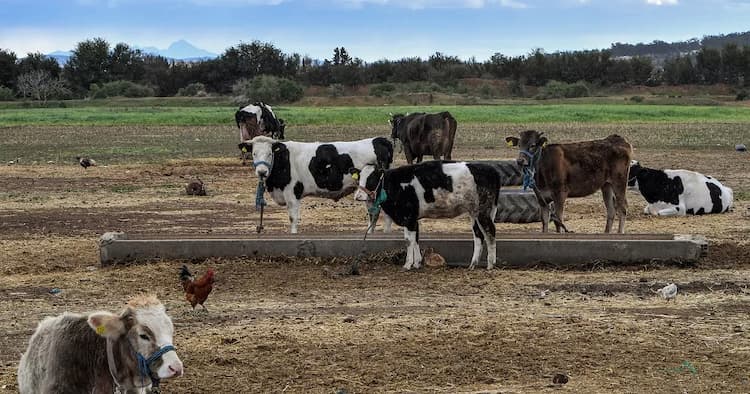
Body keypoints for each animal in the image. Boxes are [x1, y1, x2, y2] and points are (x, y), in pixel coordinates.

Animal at [239, 136, 396, 234]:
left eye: (269, 154)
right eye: (254, 153)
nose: (261, 172)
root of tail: (379, 140)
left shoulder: (292, 193)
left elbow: (293, 218)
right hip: (369, 193)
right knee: (373, 214)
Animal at [352, 161, 506, 270]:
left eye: (372, 178)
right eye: (359, 178)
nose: (358, 196)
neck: (395, 184)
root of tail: (490, 170)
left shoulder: (408, 218)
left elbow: (408, 240)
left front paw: (407, 265)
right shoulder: (413, 220)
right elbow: (415, 239)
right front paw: (417, 263)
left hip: (483, 211)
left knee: (490, 233)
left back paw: (490, 265)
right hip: (474, 213)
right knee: (478, 235)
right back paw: (473, 264)